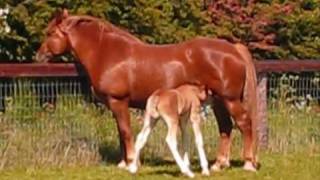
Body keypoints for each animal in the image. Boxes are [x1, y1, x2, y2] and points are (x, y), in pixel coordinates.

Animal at [36, 9, 258, 172]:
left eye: (50, 33)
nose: (39, 56)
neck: (107, 52)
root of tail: (233, 49)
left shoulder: (118, 101)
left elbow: (126, 132)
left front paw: (132, 161)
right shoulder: (115, 104)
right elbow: (121, 132)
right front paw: (124, 162)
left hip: (229, 100)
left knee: (244, 123)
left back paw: (248, 163)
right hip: (218, 101)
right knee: (226, 127)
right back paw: (219, 164)